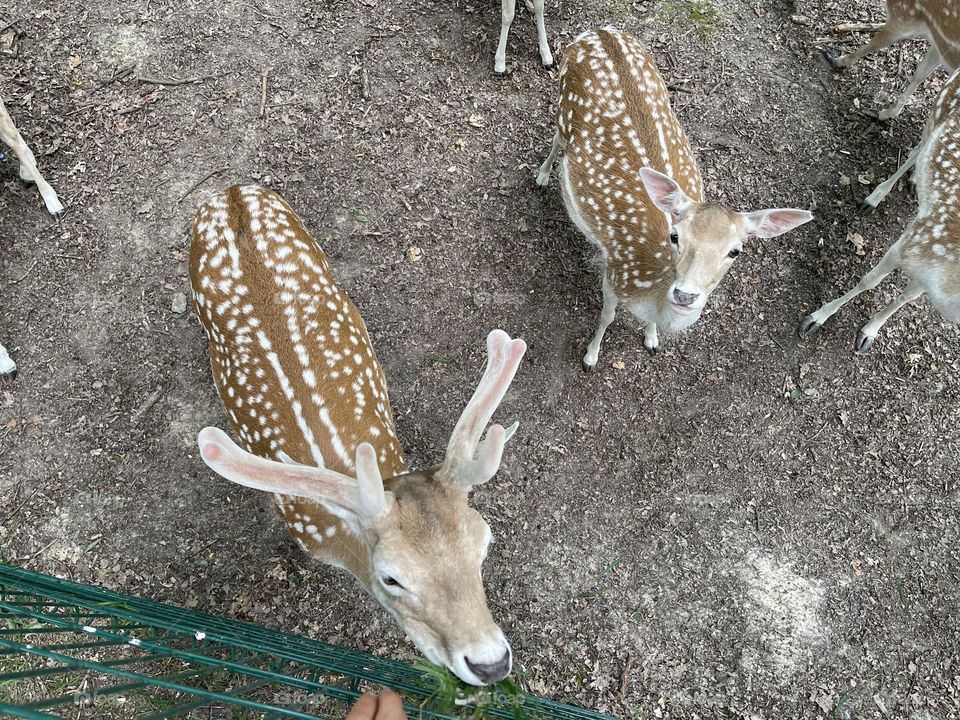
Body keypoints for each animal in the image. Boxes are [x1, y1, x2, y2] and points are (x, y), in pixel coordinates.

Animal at [535, 27, 813, 370]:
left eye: (735, 251)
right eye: (675, 236)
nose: (685, 296)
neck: (650, 288)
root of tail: (598, 31)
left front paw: (652, 340)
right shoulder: (614, 273)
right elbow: (607, 317)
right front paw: (590, 356)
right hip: (563, 106)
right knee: (556, 138)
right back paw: (542, 176)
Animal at [799, 66, 960, 352]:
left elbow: (905, 298)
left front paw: (869, 333)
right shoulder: (906, 245)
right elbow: (868, 281)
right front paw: (816, 318)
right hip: (936, 113)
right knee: (916, 151)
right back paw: (875, 197)